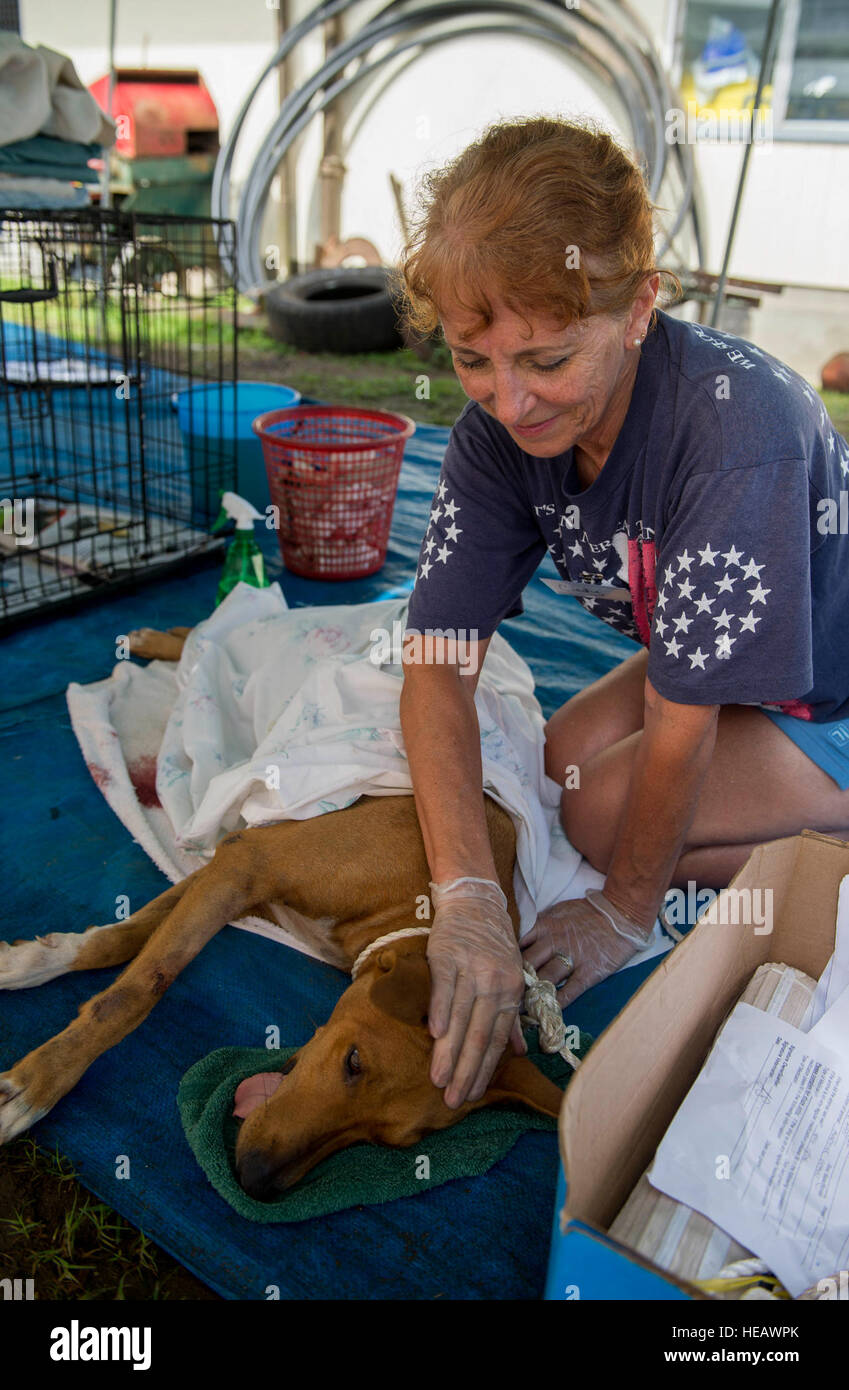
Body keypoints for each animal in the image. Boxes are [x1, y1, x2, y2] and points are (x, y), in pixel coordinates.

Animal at [0, 628, 564, 1195]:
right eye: (353, 1062)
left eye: (387, 1141)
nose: (255, 1179)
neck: (417, 899)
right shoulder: (248, 859)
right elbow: (139, 987)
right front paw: (36, 1082)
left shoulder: (239, 875)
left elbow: (130, 939)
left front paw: (37, 963)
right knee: (211, 640)